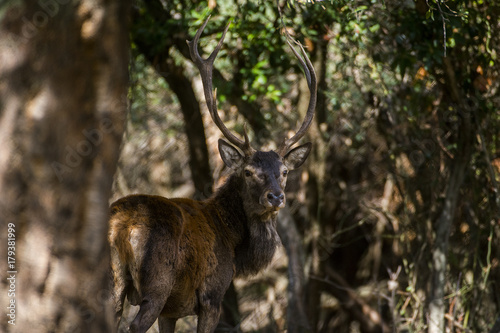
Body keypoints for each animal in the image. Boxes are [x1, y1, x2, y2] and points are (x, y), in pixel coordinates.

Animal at [109, 16, 316, 332]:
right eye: (248, 172)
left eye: (284, 171)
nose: (276, 197)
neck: (232, 241)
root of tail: (122, 225)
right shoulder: (212, 297)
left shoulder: (171, 310)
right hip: (156, 284)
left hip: (113, 283)